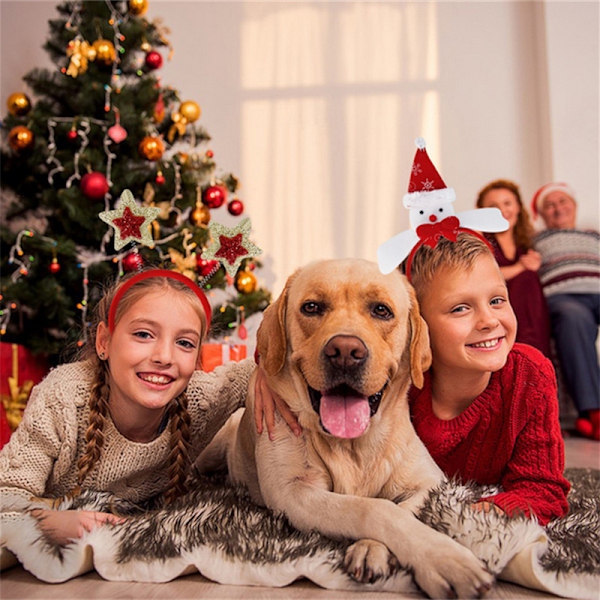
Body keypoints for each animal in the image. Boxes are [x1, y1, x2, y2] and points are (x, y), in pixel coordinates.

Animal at [197, 260, 492, 596]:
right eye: (311, 307)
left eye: (381, 310)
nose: (346, 352)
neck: (353, 445)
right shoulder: (294, 491)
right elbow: (374, 509)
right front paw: (446, 560)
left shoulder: (430, 482)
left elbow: (401, 508)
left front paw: (373, 549)